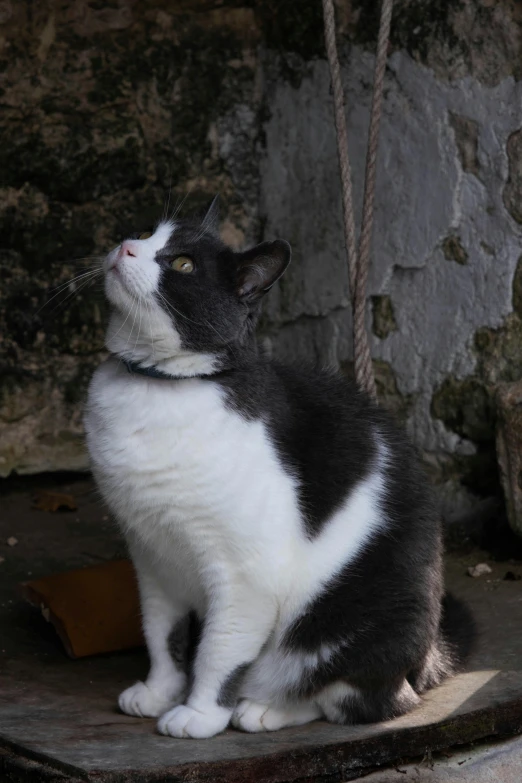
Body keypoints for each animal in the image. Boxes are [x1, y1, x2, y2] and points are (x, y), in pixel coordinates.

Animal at [83, 202, 474, 740]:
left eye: (183, 264)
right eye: (145, 232)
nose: (126, 247)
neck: (160, 385)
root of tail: (429, 652)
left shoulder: (247, 573)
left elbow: (217, 651)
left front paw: (199, 713)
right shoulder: (152, 557)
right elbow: (162, 635)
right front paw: (159, 690)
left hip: (357, 619)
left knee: (360, 697)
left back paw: (265, 709)